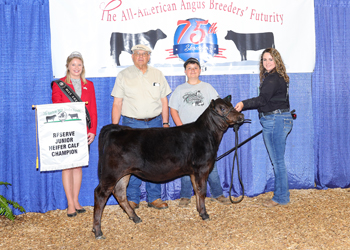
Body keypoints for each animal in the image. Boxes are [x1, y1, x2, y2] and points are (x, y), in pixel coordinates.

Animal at [92, 95, 243, 238]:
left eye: (231, 105)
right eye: (222, 108)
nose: (241, 116)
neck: (208, 134)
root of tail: (117, 130)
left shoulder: (193, 171)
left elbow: (197, 190)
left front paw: (200, 211)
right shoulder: (202, 168)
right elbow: (202, 191)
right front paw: (205, 214)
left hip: (124, 172)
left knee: (120, 192)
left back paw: (135, 217)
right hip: (112, 171)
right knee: (100, 193)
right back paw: (98, 231)